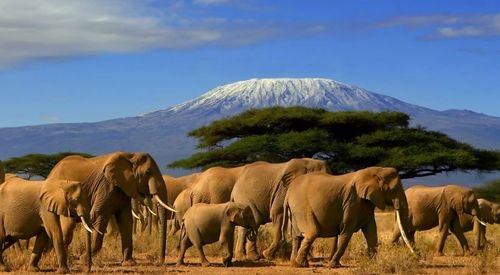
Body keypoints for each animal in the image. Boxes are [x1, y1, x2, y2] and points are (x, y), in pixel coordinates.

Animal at [47, 152, 176, 266]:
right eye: (147, 172)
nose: (159, 262)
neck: (131, 156)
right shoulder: (106, 186)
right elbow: (99, 215)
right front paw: (83, 260)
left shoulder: (123, 188)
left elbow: (126, 219)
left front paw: (128, 263)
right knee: (67, 228)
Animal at [284, 167, 412, 268]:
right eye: (394, 190)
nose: (414, 254)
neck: (376, 170)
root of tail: (288, 193)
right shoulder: (352, 201)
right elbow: (346, 231)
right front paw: (334, 266)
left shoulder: (366, 203)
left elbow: (371, 230)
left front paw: (374, 263)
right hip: (301, 206)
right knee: (312, 233)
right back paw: (300, 264)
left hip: (295, 210)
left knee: (297, 236)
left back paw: (295, 264)